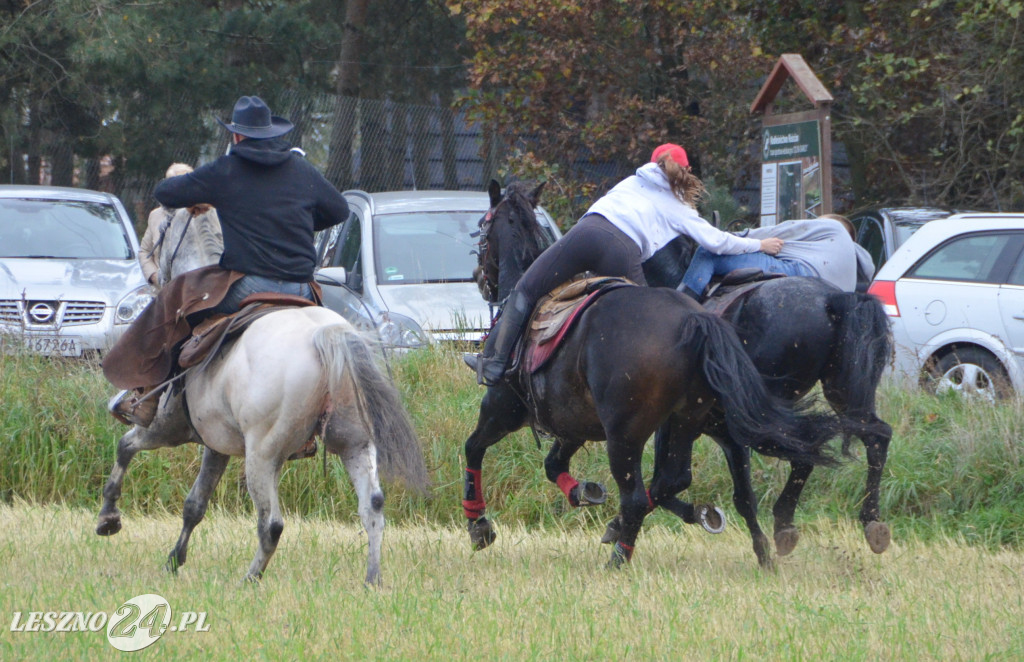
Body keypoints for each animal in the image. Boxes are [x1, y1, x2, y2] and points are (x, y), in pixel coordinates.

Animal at [464, 181, 839, 569]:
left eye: (483, 229)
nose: (478, 277)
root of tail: (694, 318)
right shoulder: (575, 425)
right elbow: (554, 465)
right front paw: (585, 491)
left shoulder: (502, 410)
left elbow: (474, 448)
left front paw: (478, 525)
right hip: (691, 418)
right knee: (688, 476)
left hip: (624, 435)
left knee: (637, 495)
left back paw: (617, 560)